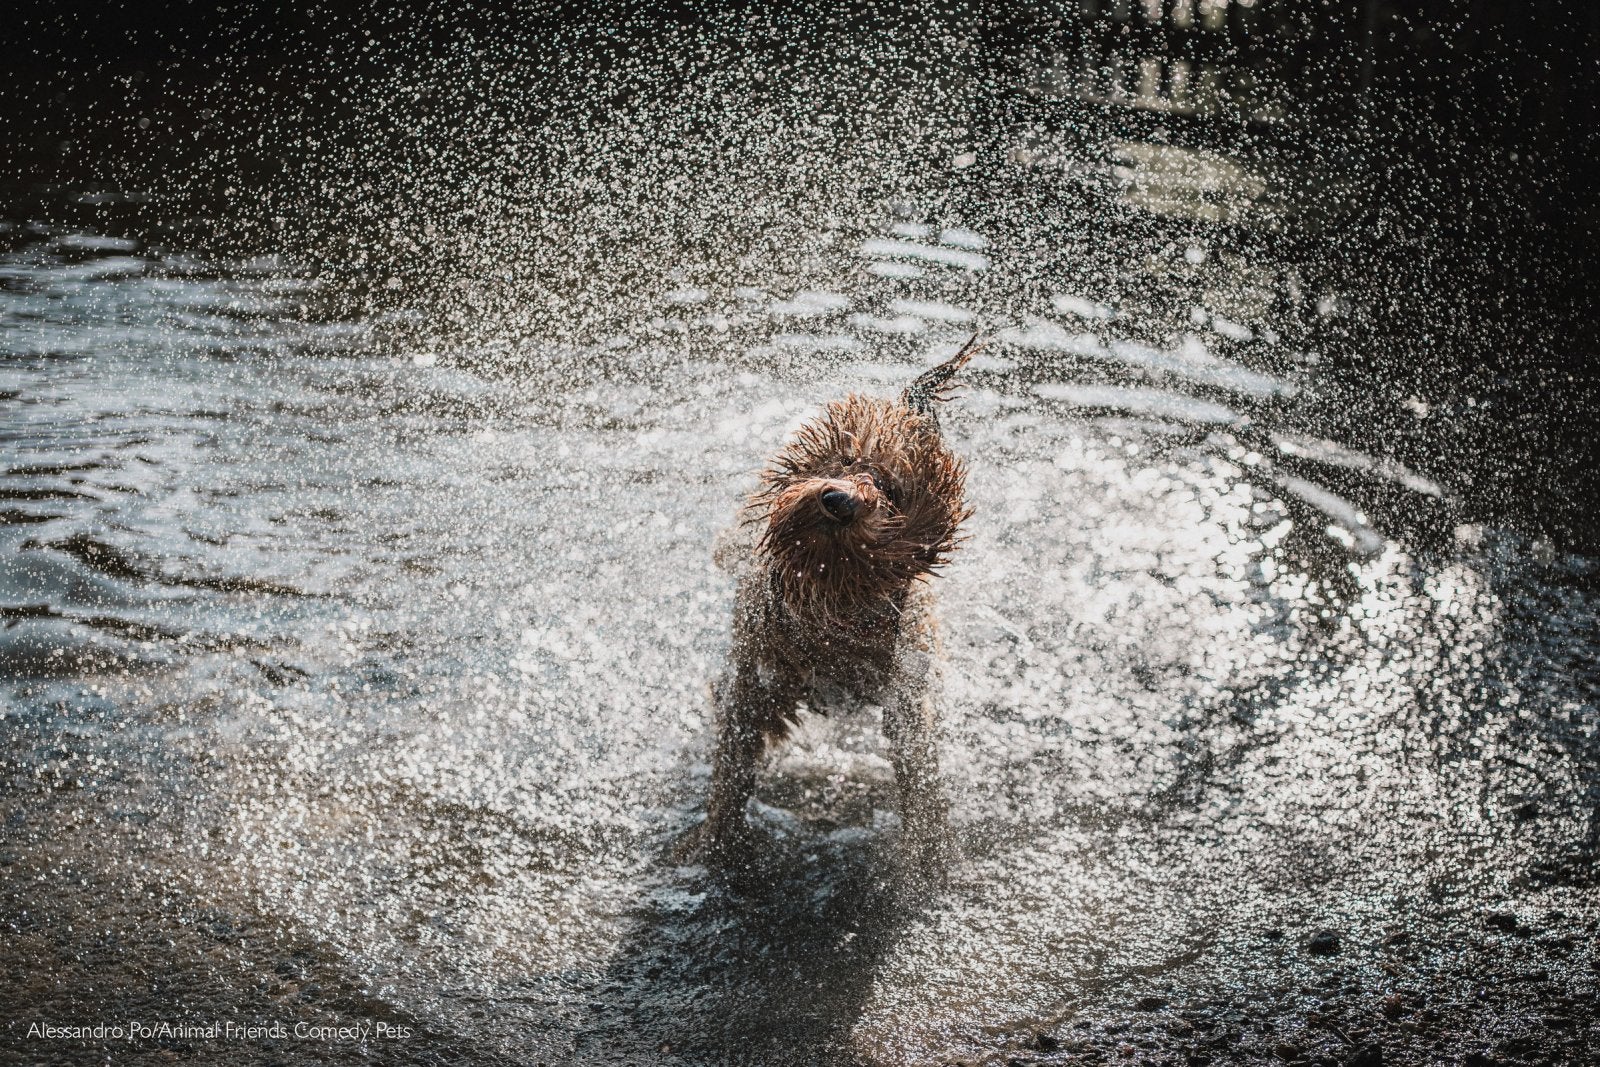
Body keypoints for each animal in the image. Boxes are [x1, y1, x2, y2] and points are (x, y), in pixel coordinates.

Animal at [694, 337, 979, 883]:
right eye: (847, 459)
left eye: (892, 490)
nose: (839, 501)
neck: (830, 602)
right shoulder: (757, 675)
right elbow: (736, 758)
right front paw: (720, 846)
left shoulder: (906, 687)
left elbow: (918, 769)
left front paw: (931, 857)